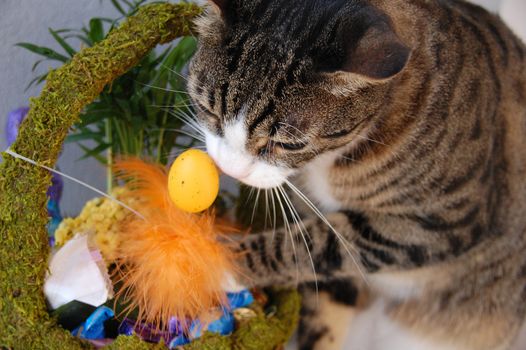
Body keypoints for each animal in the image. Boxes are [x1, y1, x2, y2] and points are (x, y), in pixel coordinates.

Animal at [188, 0, 524, 348]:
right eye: (208, 109)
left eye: (288, 144)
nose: (229, 168)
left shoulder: (440, 222)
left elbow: (315, 244)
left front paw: (221, 262)